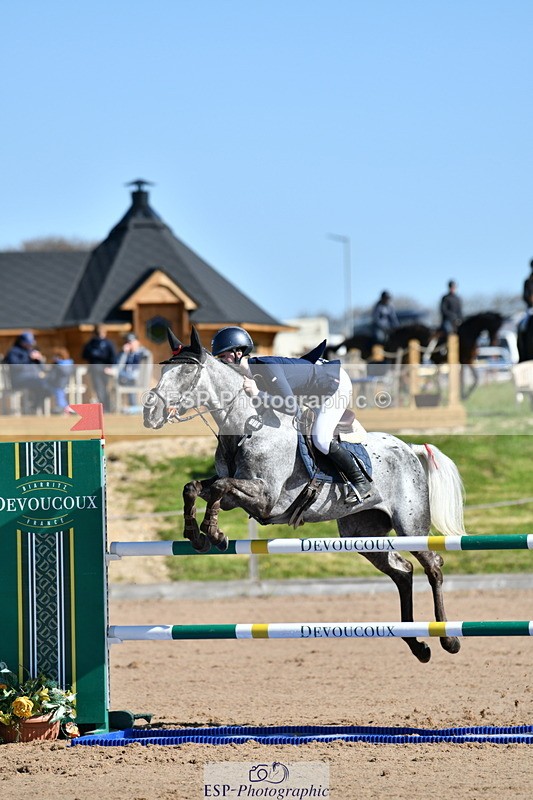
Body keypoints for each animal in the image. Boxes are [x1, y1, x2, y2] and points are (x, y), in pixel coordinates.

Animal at [143, 327, 466, 664]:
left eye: (186, 371)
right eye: (163, 370)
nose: (149, 412)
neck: (247, 425)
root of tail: (409, 448)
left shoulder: (267, 498)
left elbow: (220, 488)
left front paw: (214, 533)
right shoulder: (238, 493)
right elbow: (195, 488)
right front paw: (196, 535)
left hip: (410, 526)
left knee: (433, 565)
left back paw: (448, 640)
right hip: (363, 534)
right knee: (402, 572)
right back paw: (418, 645)